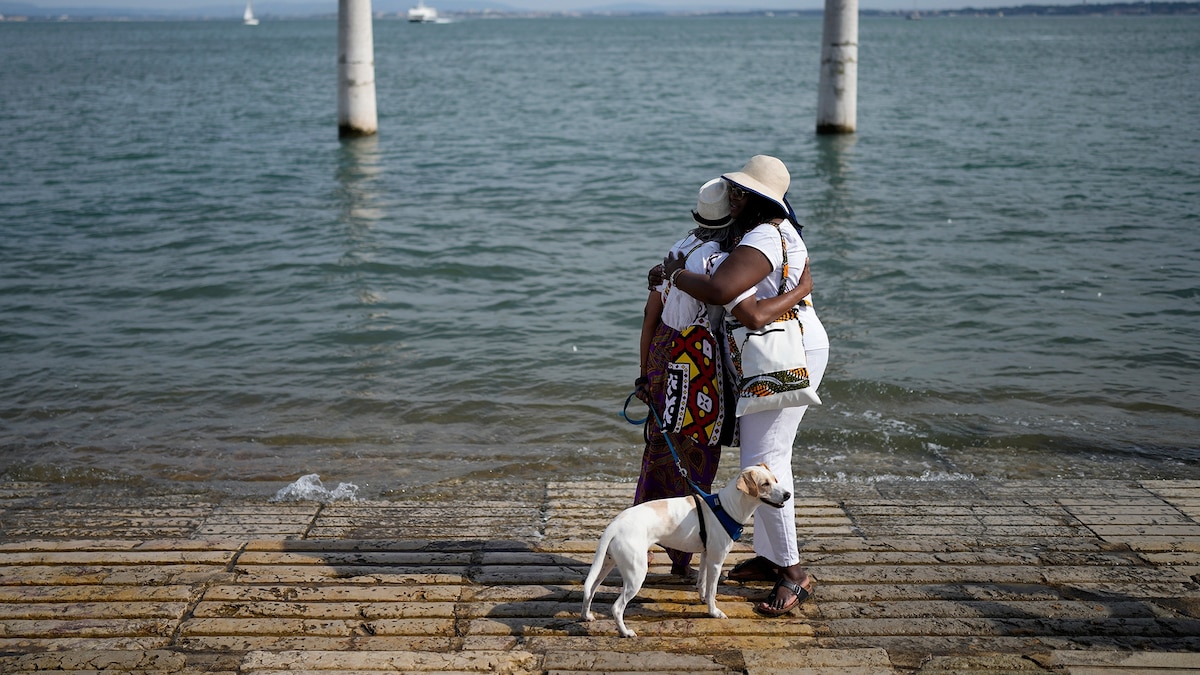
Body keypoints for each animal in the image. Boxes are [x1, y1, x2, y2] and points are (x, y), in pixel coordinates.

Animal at [578, 461, 787, 634]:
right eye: (765, 484)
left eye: (776, 480)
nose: (788, 494)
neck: (727, 508)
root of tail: (615, 524)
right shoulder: (716, 562)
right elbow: (712, 590)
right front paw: (713, 612)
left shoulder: (706, 556)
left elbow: (702, 583)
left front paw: (703, 599)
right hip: (636, 575)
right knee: (617, 607)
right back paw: (625, 632)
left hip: (606, 565)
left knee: (590, 591)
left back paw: (586, 616)